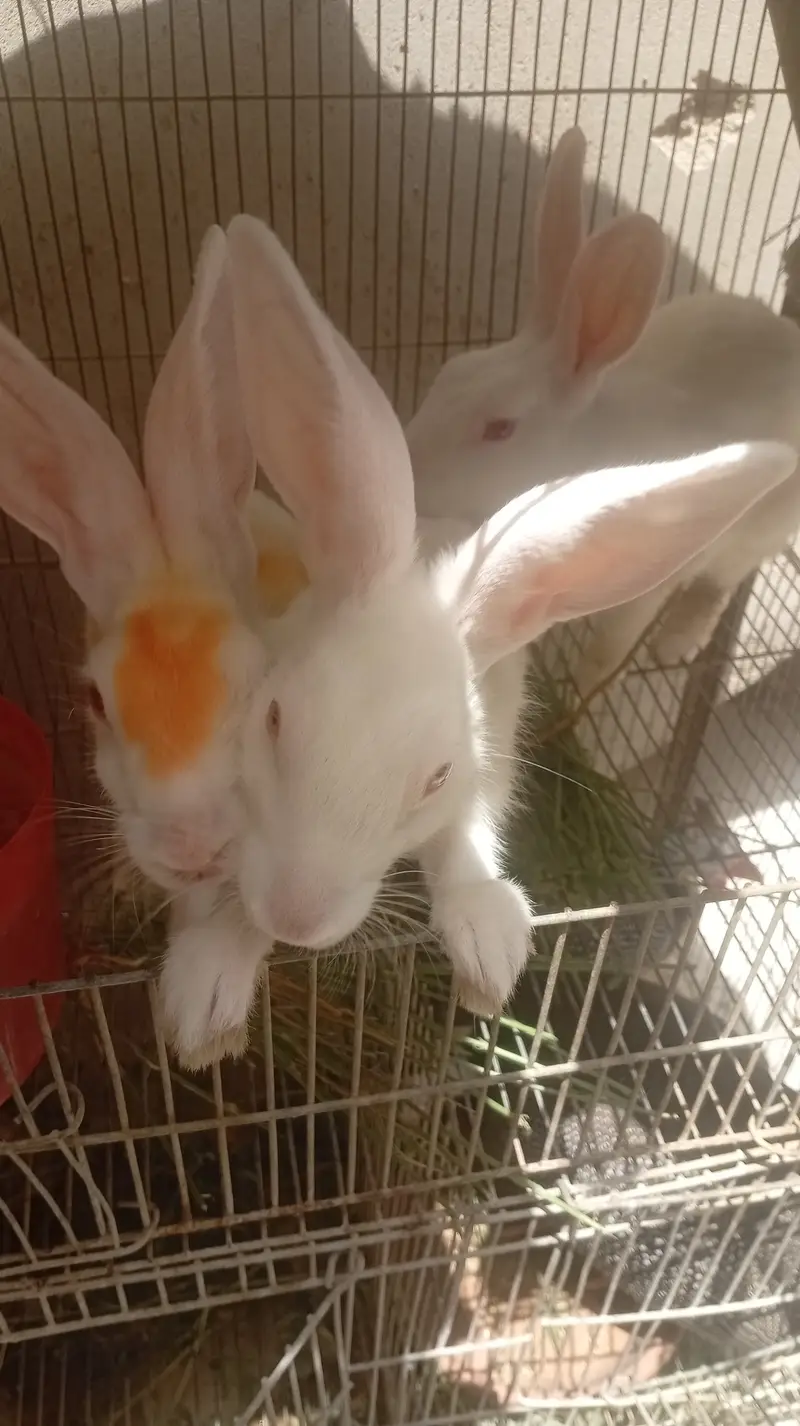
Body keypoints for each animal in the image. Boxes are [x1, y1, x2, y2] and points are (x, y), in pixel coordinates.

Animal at [406, 125, 800, 694]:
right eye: (447, 374)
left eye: (499, 428)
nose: (407, 466)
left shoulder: (653, 583)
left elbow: (608, 650)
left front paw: (584, 693)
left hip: (760, 528)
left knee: (721, 584)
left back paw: (675, 642)